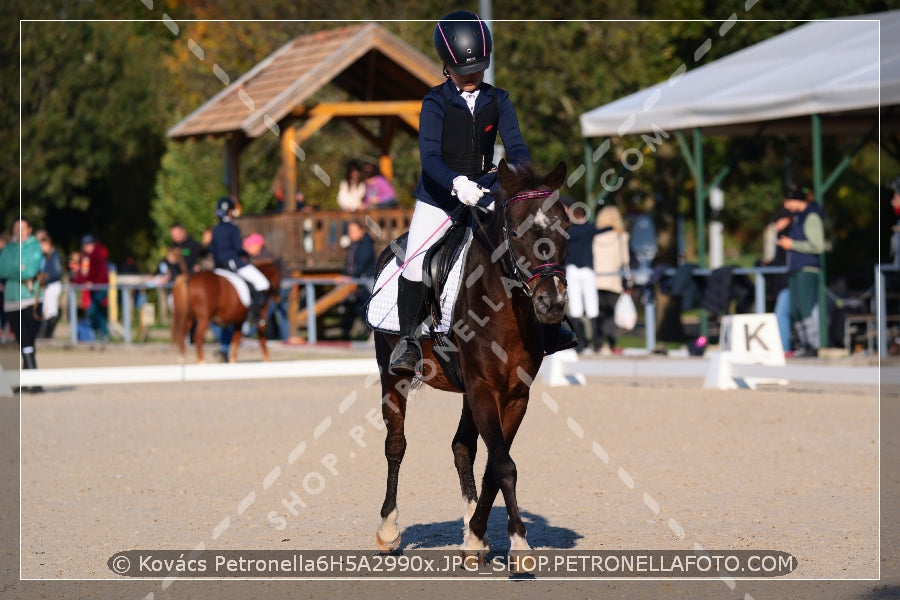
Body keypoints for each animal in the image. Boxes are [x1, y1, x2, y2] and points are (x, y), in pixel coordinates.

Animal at [372, 161, 568, 568]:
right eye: (515, 231)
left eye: (566, 226)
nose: (552, 304)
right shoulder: (483, 389)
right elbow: (503, 464)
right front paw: (519, 544)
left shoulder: (513, 396)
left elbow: (495, 462)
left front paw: (476, 537)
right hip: (392, 374)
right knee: (396, 444)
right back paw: (387, 530)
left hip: (467, 391)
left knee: (463, 448)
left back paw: (468, 525)